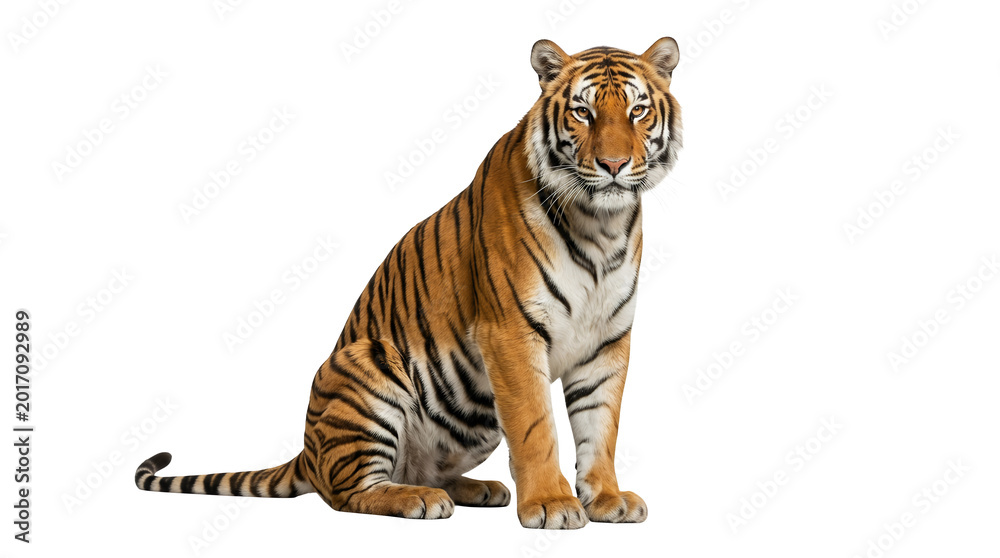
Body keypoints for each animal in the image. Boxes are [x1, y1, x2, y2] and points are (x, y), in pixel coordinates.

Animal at [136, 37, 682, 529]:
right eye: (583, 113)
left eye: (637, 111)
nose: (614, 165)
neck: (600, 224)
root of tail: (308, 451)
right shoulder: (510, 332)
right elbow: (535, 428)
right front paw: (551, 504)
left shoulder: (607, 340)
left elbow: (600, 427)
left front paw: (607, 499)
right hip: (370, 363)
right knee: (346, 492)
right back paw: (418, 499)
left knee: (420, 468)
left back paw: (477, 488)